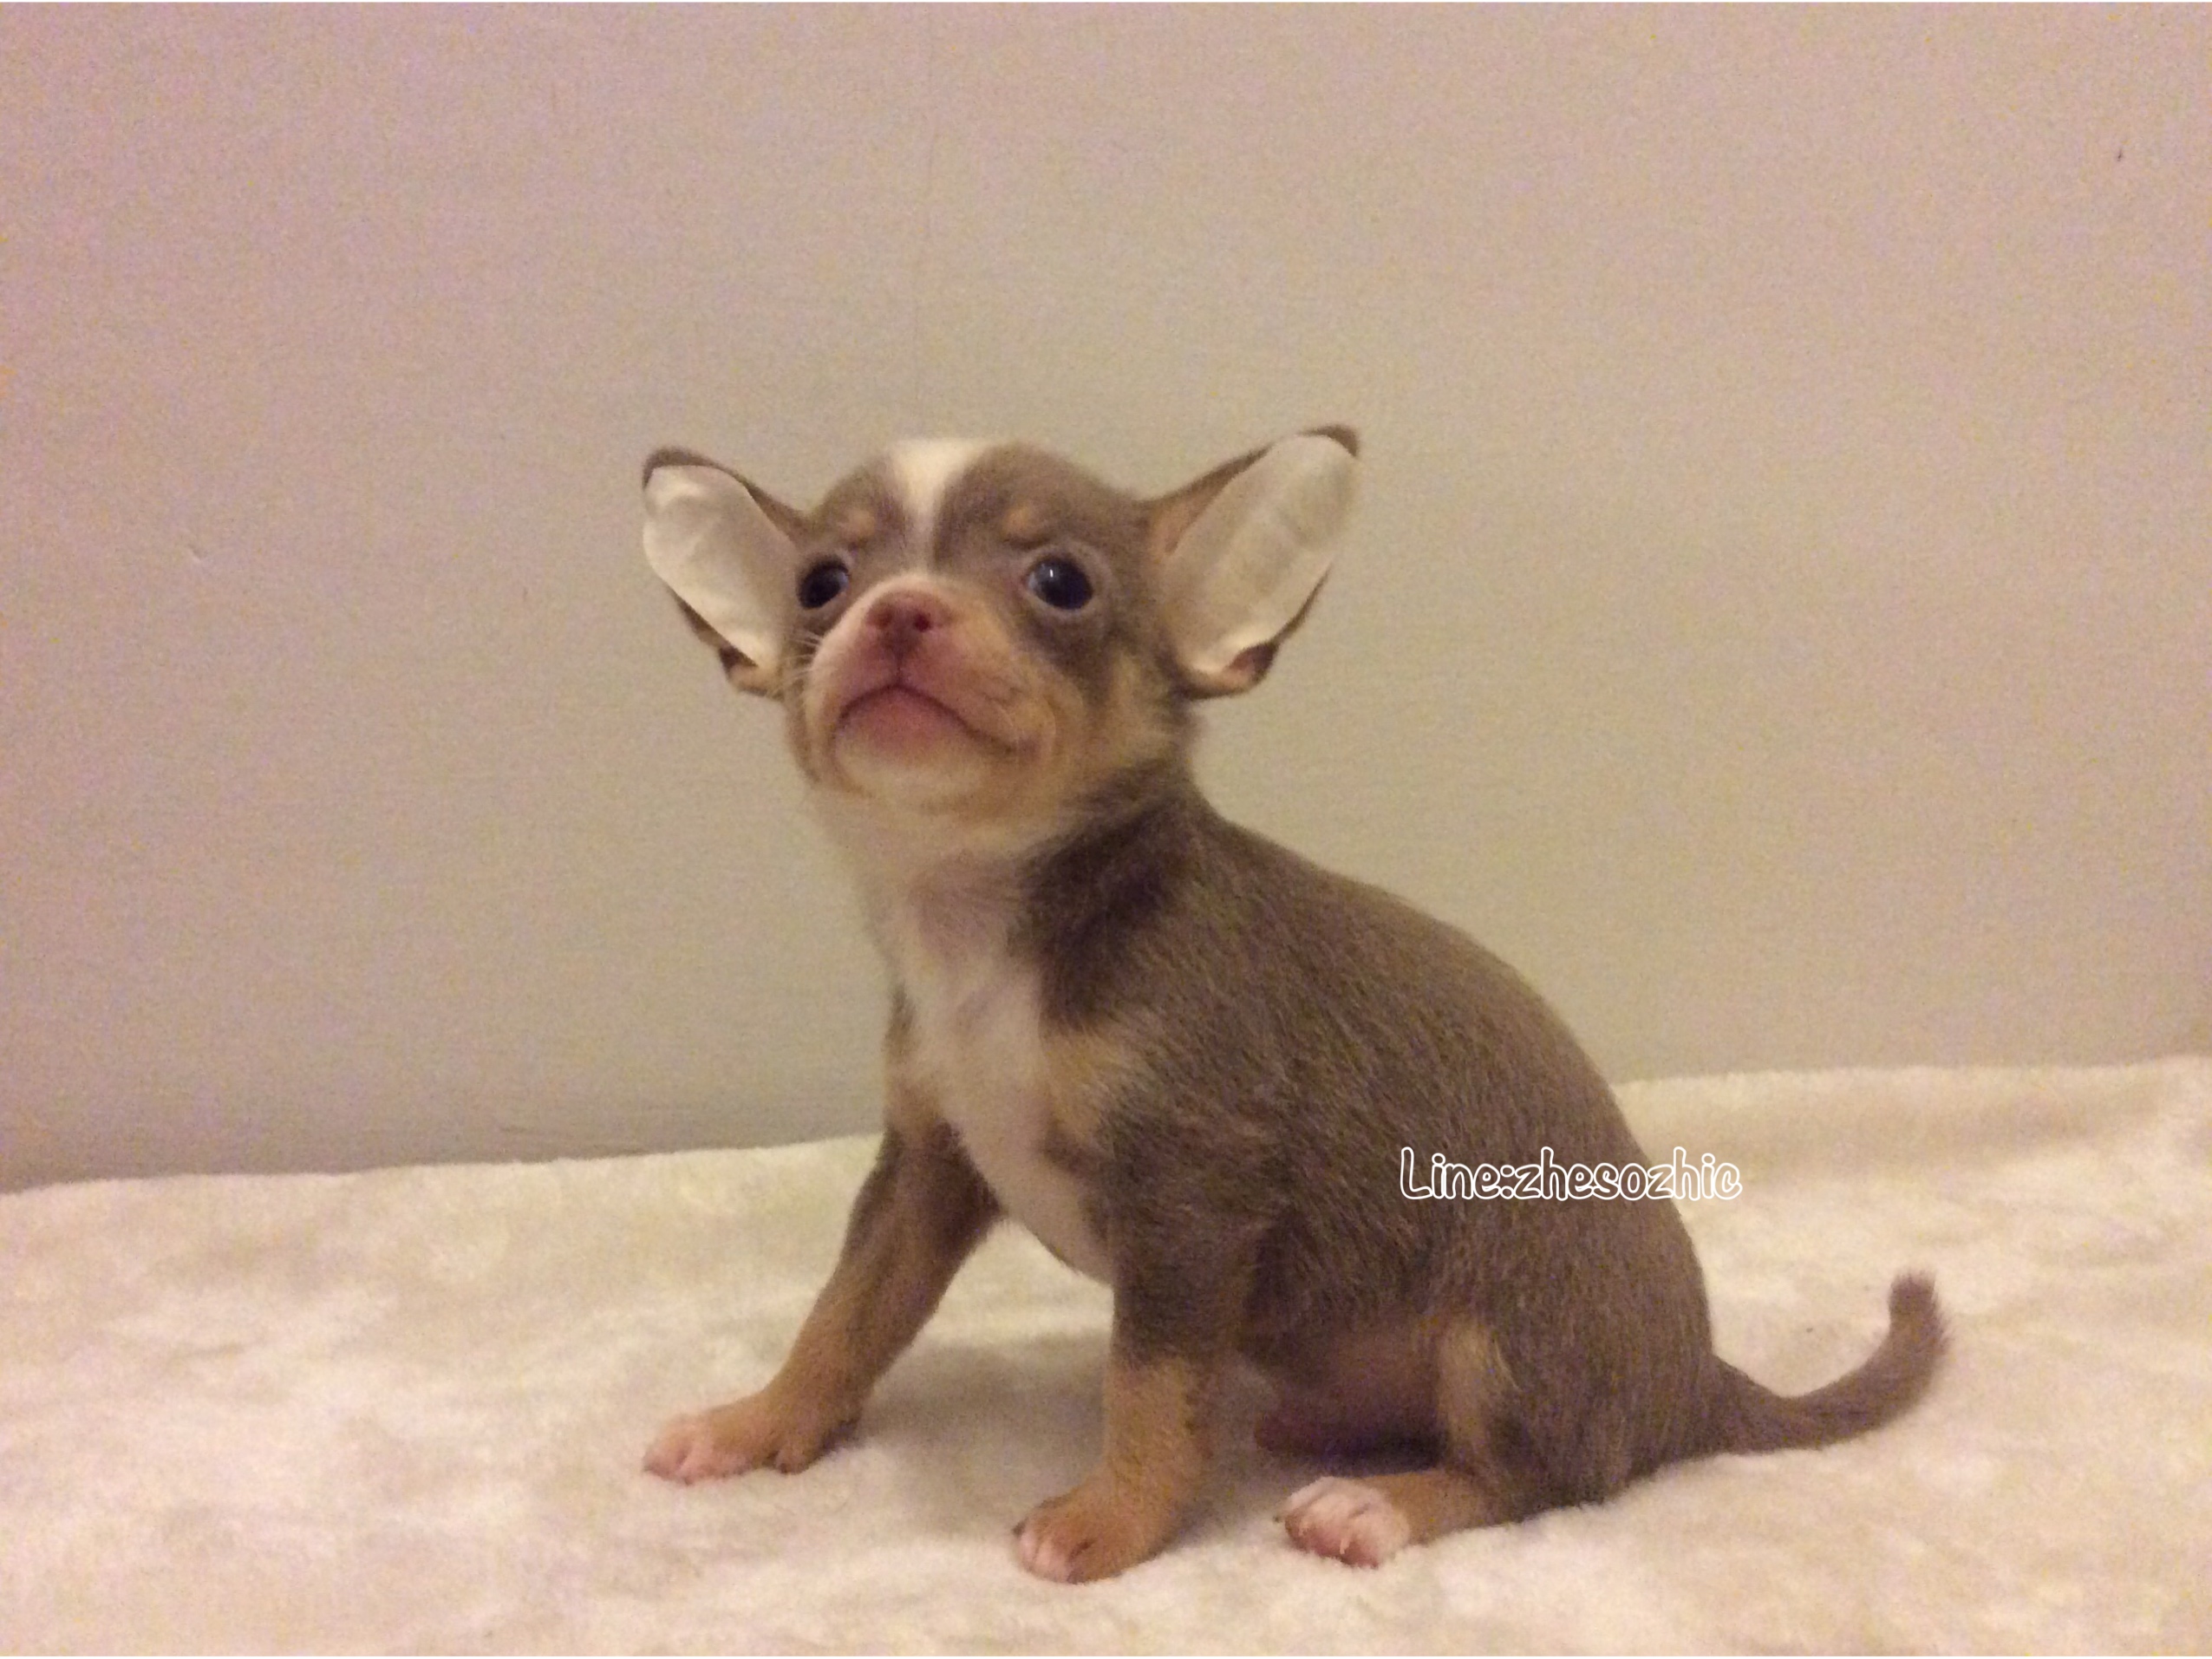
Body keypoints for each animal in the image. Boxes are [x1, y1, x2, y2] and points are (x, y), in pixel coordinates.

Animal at [635, 427, 1944, 1581]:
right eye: (821, 583)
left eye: (1059, 581)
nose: (900, 609)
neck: (984, 928)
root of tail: (1697, 1378)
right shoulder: (924, 1165)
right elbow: (844, 1315)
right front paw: (756, 1422)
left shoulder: (1190, 1199)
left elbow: (1147, 1387)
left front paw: (1108, 1520)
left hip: (1508, 1343)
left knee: (1544, 1475)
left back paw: (1376, 1503)